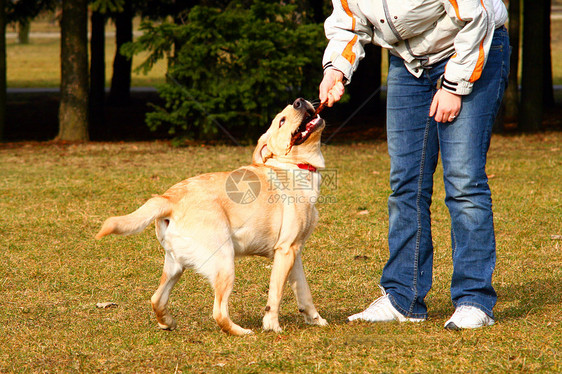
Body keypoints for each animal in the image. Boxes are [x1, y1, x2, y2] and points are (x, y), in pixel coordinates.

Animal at [94, 98, 326, 334]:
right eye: (282, 121)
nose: (299, 101)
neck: (293, 167)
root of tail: (169, 198)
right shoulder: (286, 250)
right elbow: (275, 296)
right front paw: (272, 327)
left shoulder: (294, 252)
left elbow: (305, 293)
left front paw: (316, 320)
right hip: (225, 263)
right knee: (219, 313)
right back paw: (243, 332)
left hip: (175, 265)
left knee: (156, 299)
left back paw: (168, 322)